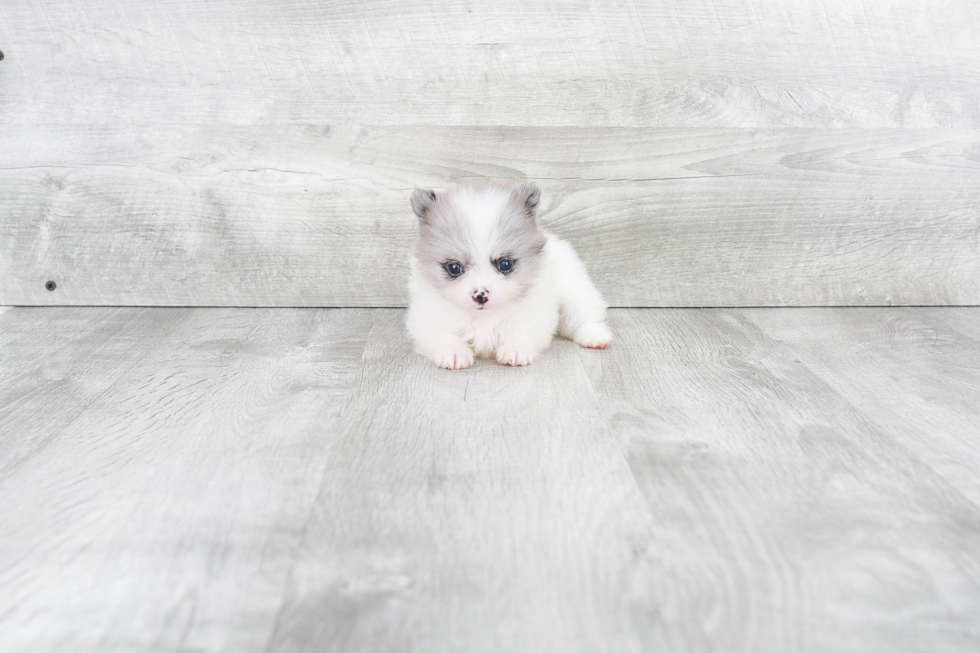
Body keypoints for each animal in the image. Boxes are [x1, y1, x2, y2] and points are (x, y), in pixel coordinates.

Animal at [404, 181, 604, 370]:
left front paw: (515, 350)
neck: (483, 317)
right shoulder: (427, 316)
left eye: (505, 264)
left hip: (573, 291)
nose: (480, 295)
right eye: (454, 267)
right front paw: (454, 353)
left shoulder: (535, 312)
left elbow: (522, 330)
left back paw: (595, 336)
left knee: (584, 314)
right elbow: (443, 335)